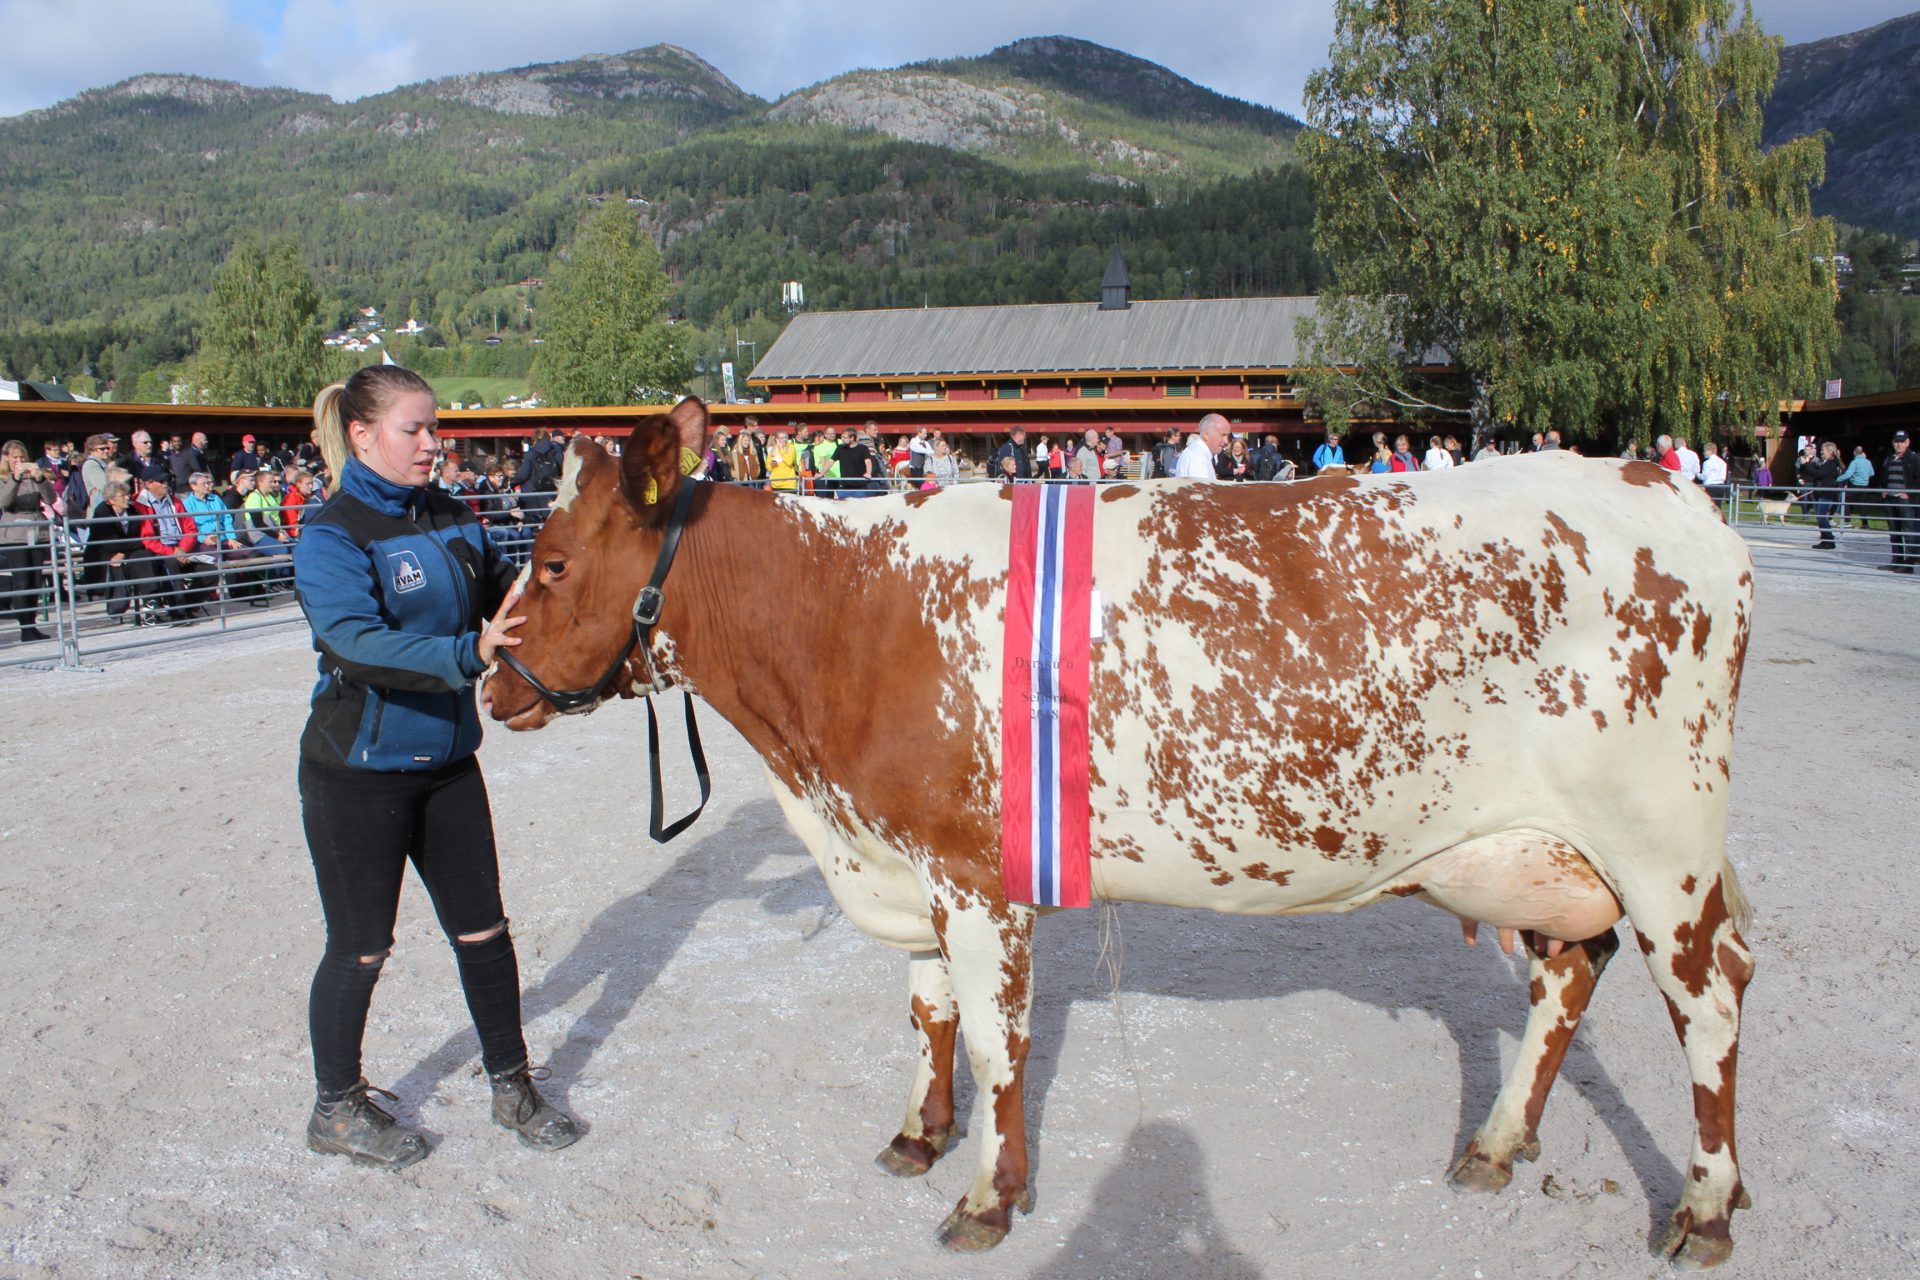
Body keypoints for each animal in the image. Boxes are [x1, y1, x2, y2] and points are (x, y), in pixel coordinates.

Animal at [483, 402, 1758, 1274]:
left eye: (550, 562)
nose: (488, 678)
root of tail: (1662, 484)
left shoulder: (971, 874)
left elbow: (997, 1041)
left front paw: (989, 1197)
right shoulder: (902, 855)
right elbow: (928, 1014)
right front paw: (920, 1133)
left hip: (1663, 839)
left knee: (1711, 996)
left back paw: (1704, 1206)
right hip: (1550, 854)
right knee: (1569, 973)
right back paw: (1497, 1141)